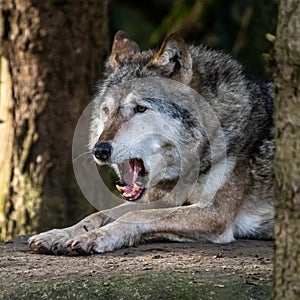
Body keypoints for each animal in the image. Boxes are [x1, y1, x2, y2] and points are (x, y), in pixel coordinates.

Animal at [28, 30, 274, 254]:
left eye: (140, 108)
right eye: (106, 111)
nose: (100, 150)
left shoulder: (214, 214)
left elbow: (135, 214)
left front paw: (96, 238)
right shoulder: (164, 200)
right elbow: (98, 214)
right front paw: (57, 234)